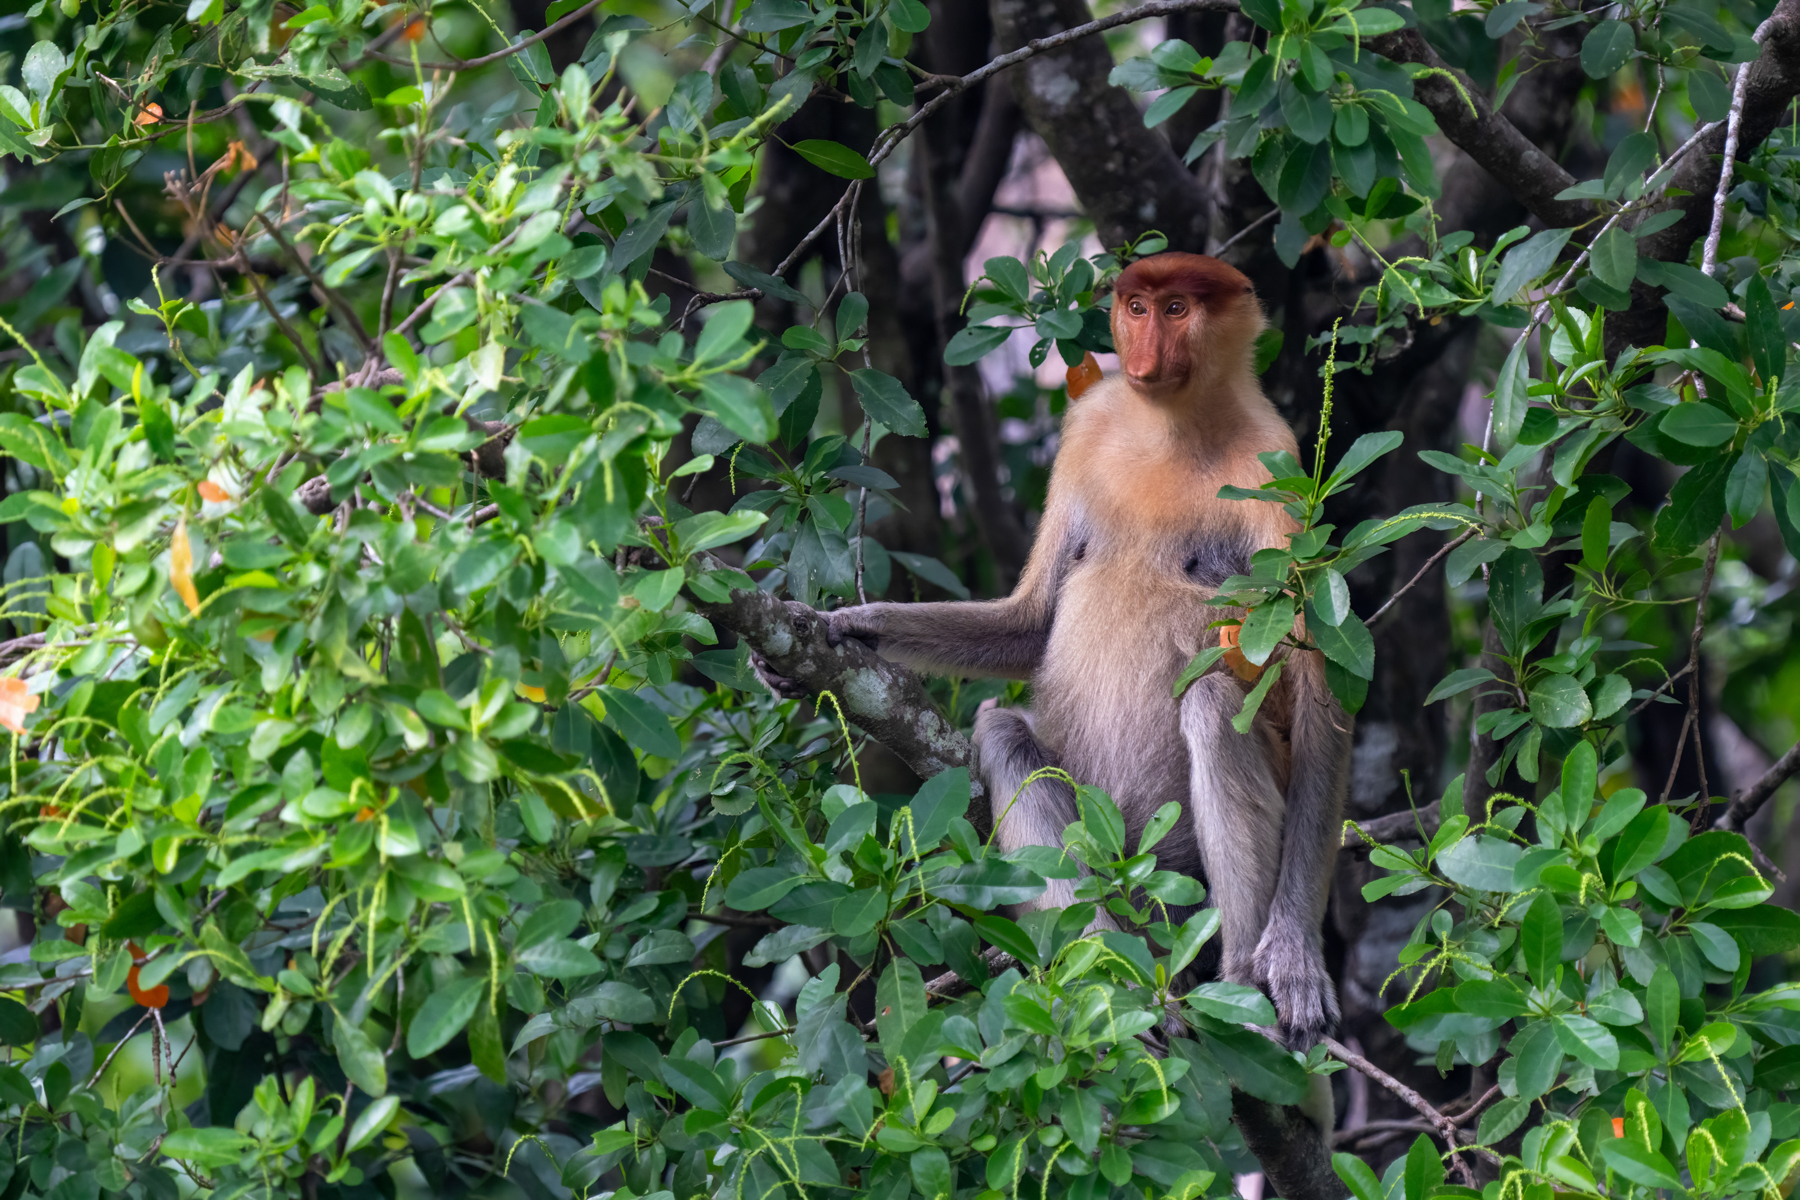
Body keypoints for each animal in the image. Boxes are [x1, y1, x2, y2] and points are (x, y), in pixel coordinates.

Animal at [756, 252, 1350, 1056]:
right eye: (1136, 307)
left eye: (1177, 308)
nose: (1143, 354)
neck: (1173, 423)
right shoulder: (1090, 425)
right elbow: (1033, 622)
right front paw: (838, 627)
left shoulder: (1276, 469)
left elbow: (1319, 698)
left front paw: (1294, 961)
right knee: (1004, 733)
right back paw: (1106, 978)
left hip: (1176, 865)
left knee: (1211, 700)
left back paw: (1231, 985)